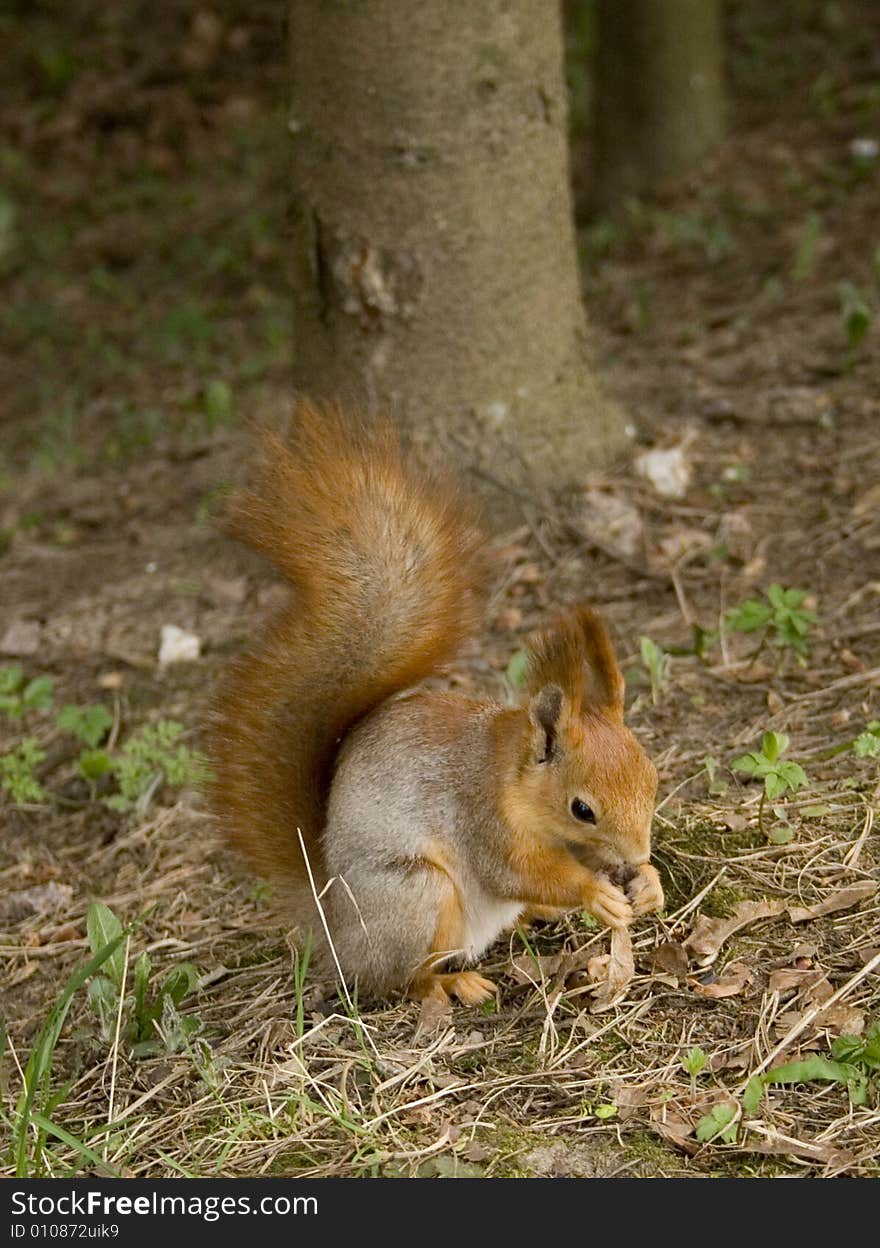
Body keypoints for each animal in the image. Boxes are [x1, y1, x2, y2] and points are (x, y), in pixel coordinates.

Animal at [207, 404, 659, 1008]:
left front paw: (649, 884)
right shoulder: (481, 823)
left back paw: (537, 917)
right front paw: (596, 893)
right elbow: (516, 871)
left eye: (653, 780)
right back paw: (457, 982)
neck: (513, 776)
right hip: (419, 895)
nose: (634, 858)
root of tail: (334, 925)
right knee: (402, 978)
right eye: (581, 809)